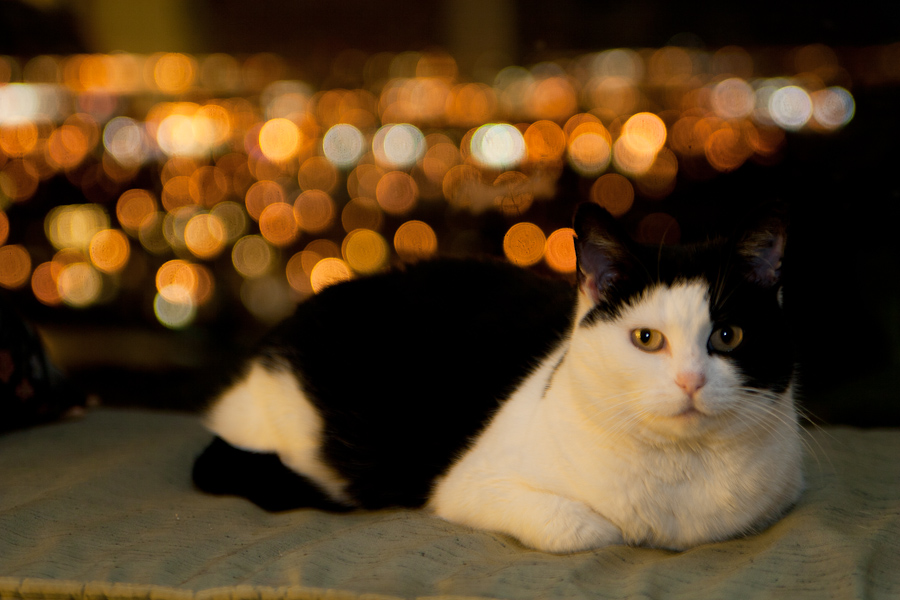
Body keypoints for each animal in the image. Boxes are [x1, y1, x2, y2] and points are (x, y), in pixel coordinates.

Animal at [193, 202, 804, 552]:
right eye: (647, 339)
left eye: (728, 336)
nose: (690, 382)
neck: (678, 478)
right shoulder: (472, 487)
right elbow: (589, 529)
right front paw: (618, 528)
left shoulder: (778, 499)